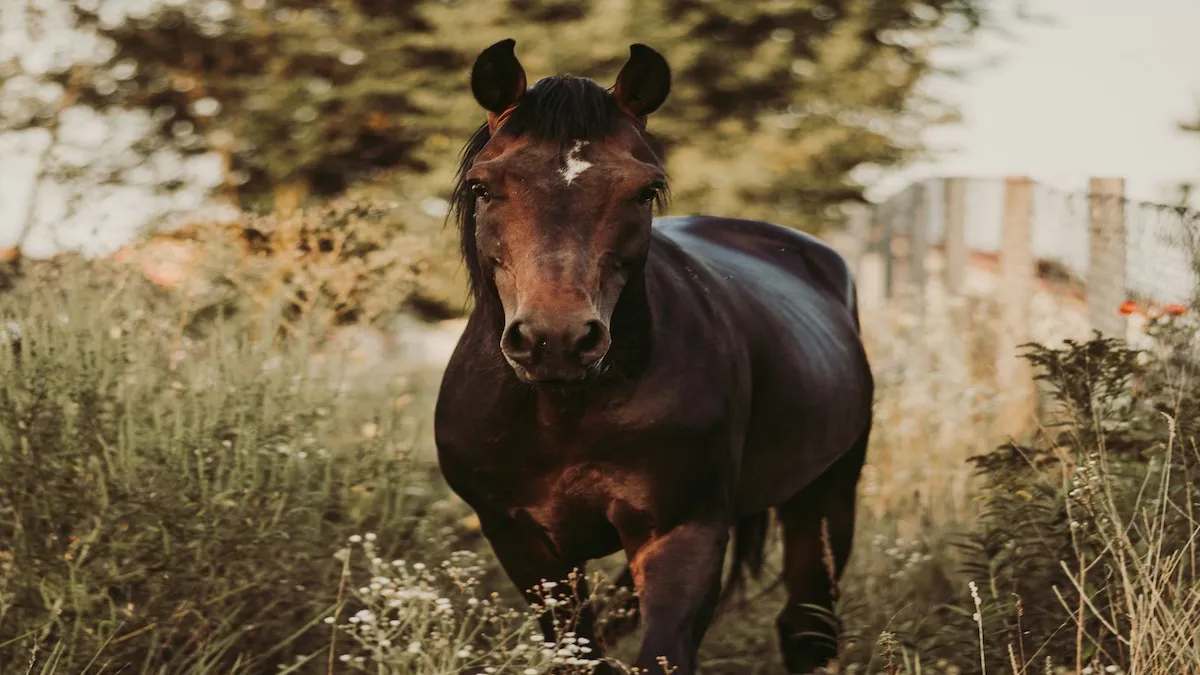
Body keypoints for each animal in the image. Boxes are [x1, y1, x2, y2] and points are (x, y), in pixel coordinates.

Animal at [434, 39, 874, 675]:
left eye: (643, 190)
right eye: (482, 187)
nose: (555, 340)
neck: (565, 414)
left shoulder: (680, 534)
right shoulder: (523, 542)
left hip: (826, 497)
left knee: (807, 627)